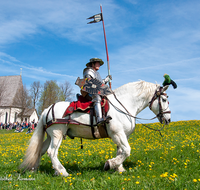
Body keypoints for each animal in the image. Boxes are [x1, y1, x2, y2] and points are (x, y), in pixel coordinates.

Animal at [19, 80, 170, 177]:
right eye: (163, 100)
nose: (168, 119)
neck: (123, 105)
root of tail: (47, 109)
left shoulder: (122, 135)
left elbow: (121, 151)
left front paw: (119, 169)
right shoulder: (118, 134)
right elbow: (126, 151)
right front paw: (109, 164)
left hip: (51, 136)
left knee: (41, 151)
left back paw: (37, 170)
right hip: (57, 134)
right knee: (52, 152)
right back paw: (62, 172)